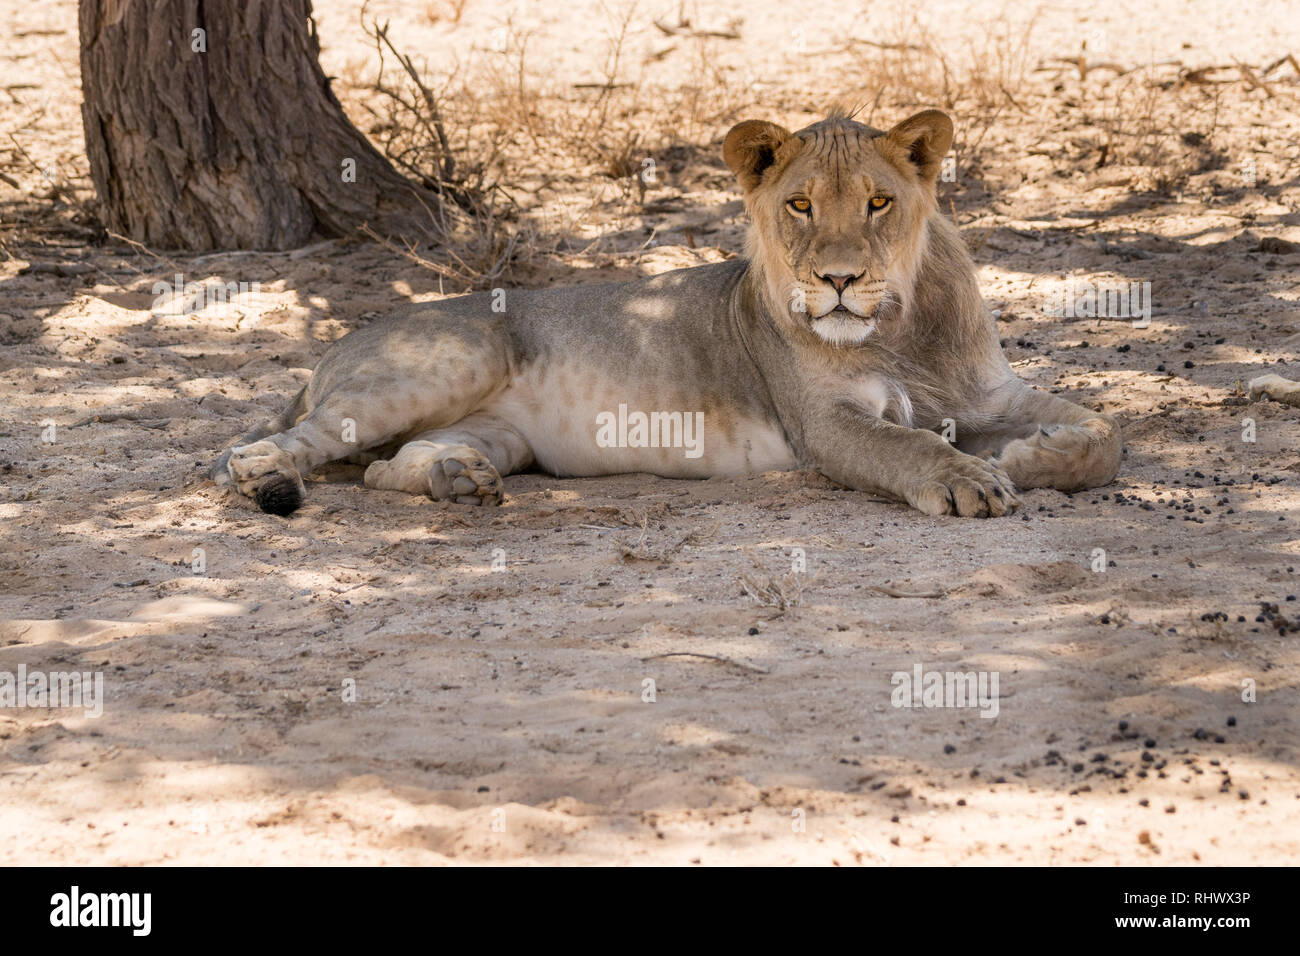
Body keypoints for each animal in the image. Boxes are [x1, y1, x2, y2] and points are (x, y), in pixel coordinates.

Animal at [210, 108, 1118, 520]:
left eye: (878, 202)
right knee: (286, 443)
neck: (898, 331)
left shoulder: (989, 394)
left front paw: (1032, 456)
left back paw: (455, 479)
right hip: (449, 360)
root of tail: (334, 348)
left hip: (499, 435)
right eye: (798, 205)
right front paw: (970, 479)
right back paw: (266, 476)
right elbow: (908, 446)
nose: (838, 279)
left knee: (380, 467)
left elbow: (1105, 438)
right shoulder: (824, 427)